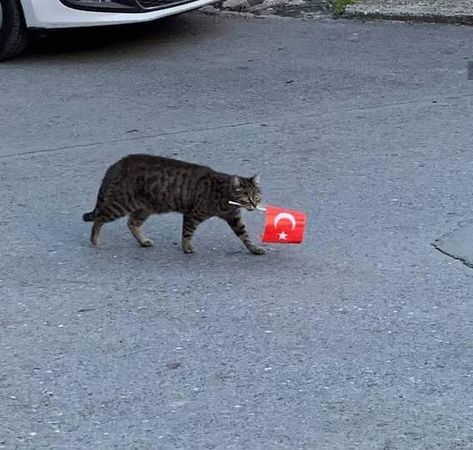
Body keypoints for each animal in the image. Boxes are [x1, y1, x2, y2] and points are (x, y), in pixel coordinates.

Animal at [82, 154, 264, 253]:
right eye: (247, 198)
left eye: (257, 197)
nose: (254, 206)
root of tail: (118, 163)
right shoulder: (192, 214)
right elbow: (187, 233)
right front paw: (187, 247)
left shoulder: (234, 218)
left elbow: (245, 236)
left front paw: (254, 249)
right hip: (121, 204)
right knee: (99, 218)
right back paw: (94, 240)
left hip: (144, 208)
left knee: (132, 223)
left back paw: (143, 241)